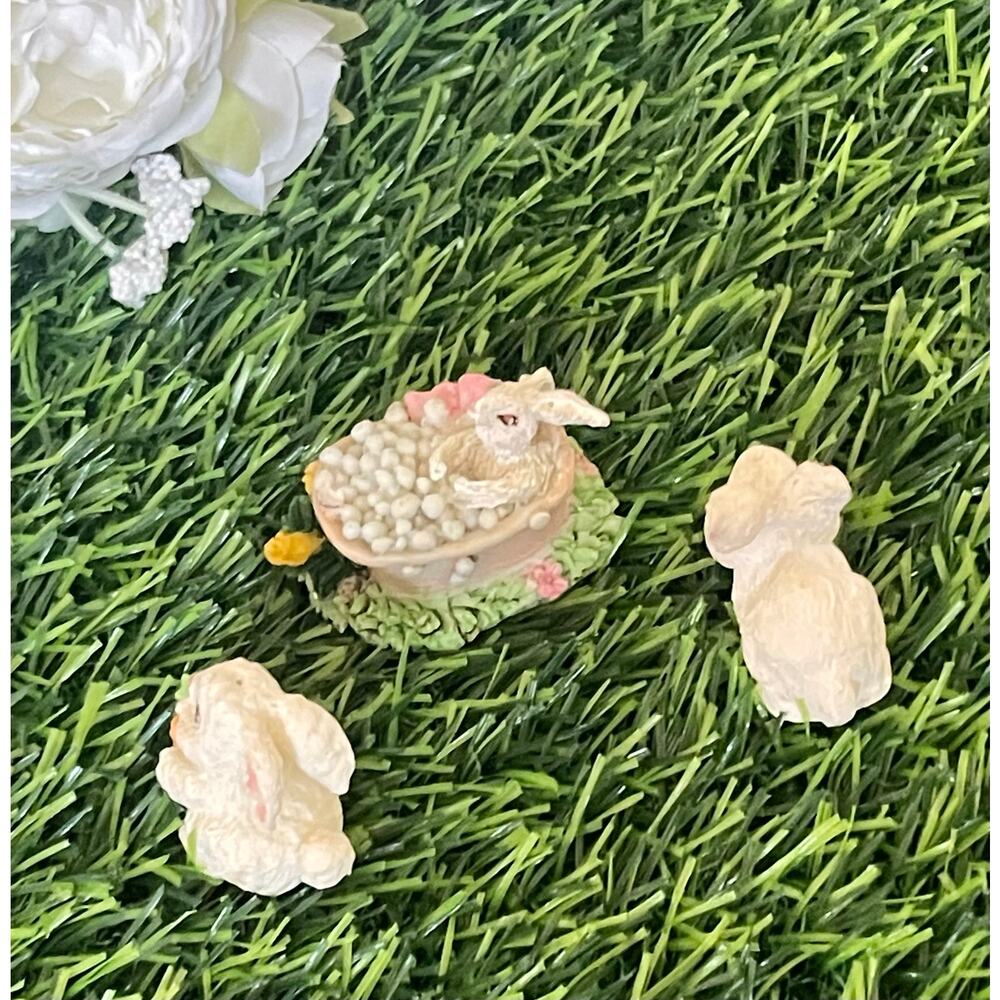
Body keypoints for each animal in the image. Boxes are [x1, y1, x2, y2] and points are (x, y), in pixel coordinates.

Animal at [428, 368, 610, 509]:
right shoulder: (470, 445)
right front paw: (437, 469)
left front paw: (462, 489)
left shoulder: (524, 478)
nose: (475, 411)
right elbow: (450, 447)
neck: (504, 455)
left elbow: (501, 489)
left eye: (509, 419)